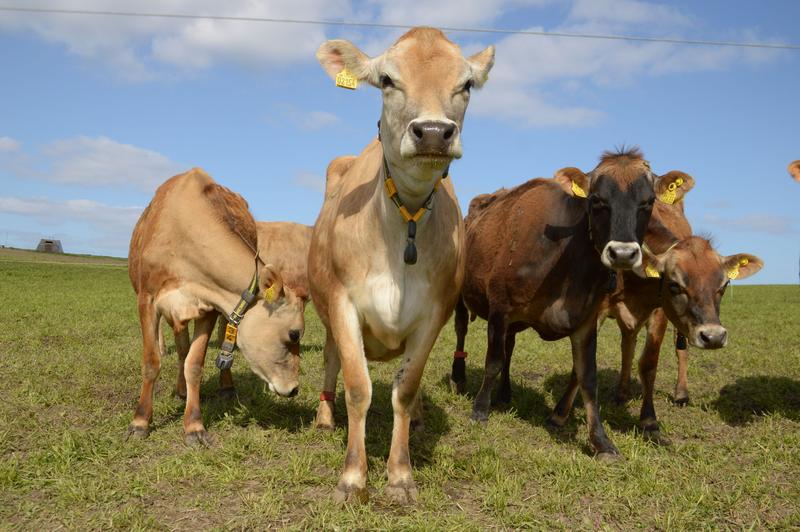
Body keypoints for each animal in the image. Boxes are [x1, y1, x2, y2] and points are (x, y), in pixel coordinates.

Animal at [128, 169, 306, 444]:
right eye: (294, 333)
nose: (294, 389)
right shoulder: (147, 299)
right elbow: (151, 362)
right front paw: (140, 421)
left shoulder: (210, 307)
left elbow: (194, 365)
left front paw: (194, 425)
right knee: (181, 346)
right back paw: (180, 390)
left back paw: (225, 385)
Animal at [308, 28, 490, 502]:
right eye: (387, 80)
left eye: (466, 84)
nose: (433, 132)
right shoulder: (343, 303)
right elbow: (357, 388)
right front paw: (353, 477)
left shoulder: (435, 313)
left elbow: (404, 390)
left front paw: (401, 475)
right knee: (331, 362)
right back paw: (324, 416)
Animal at [446, 148, 680, 460]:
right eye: (596, 200)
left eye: (648, 202)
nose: (622, 253)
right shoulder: (499, 308)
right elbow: (492, 361)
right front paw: (480, 411)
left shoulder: (586, 320)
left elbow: (588, 378)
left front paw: (601, 442)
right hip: (462, 295)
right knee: (462, 329)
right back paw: (459, 377)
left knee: (510, 347)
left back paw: (505, 393)